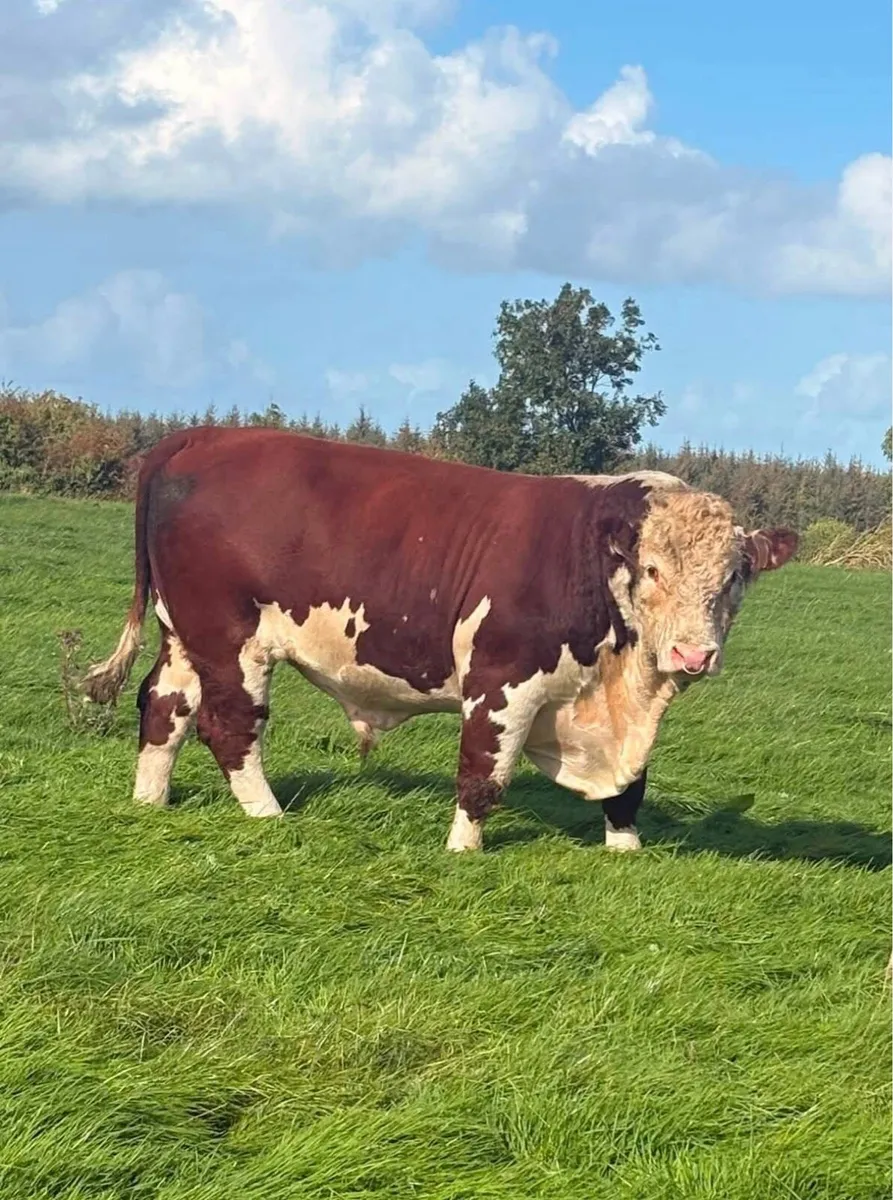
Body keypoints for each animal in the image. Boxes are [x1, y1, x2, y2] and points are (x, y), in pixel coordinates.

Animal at [83, 427, 798, 852]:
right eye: (652, 570)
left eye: (735, 577)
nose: (693, 654)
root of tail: (199, 435)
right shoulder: (500, 680)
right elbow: (483, 773)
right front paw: (463, 851)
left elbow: (629, 788)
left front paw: (627, 855)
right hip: (233, 638)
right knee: (230, 726)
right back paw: (269, 815)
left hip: (185, 633)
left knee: (164, 707)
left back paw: (150, 803)